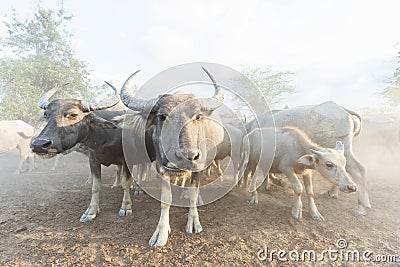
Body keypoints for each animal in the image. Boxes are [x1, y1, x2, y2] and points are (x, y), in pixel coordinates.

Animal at [119, 66, 225, 247]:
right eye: (162, 116)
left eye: (197, 116)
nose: (185, 156)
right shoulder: (161, 168)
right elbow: (165, 199)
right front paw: (161, 232)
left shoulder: (198, 166)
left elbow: (194, 194)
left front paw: (193, 221)